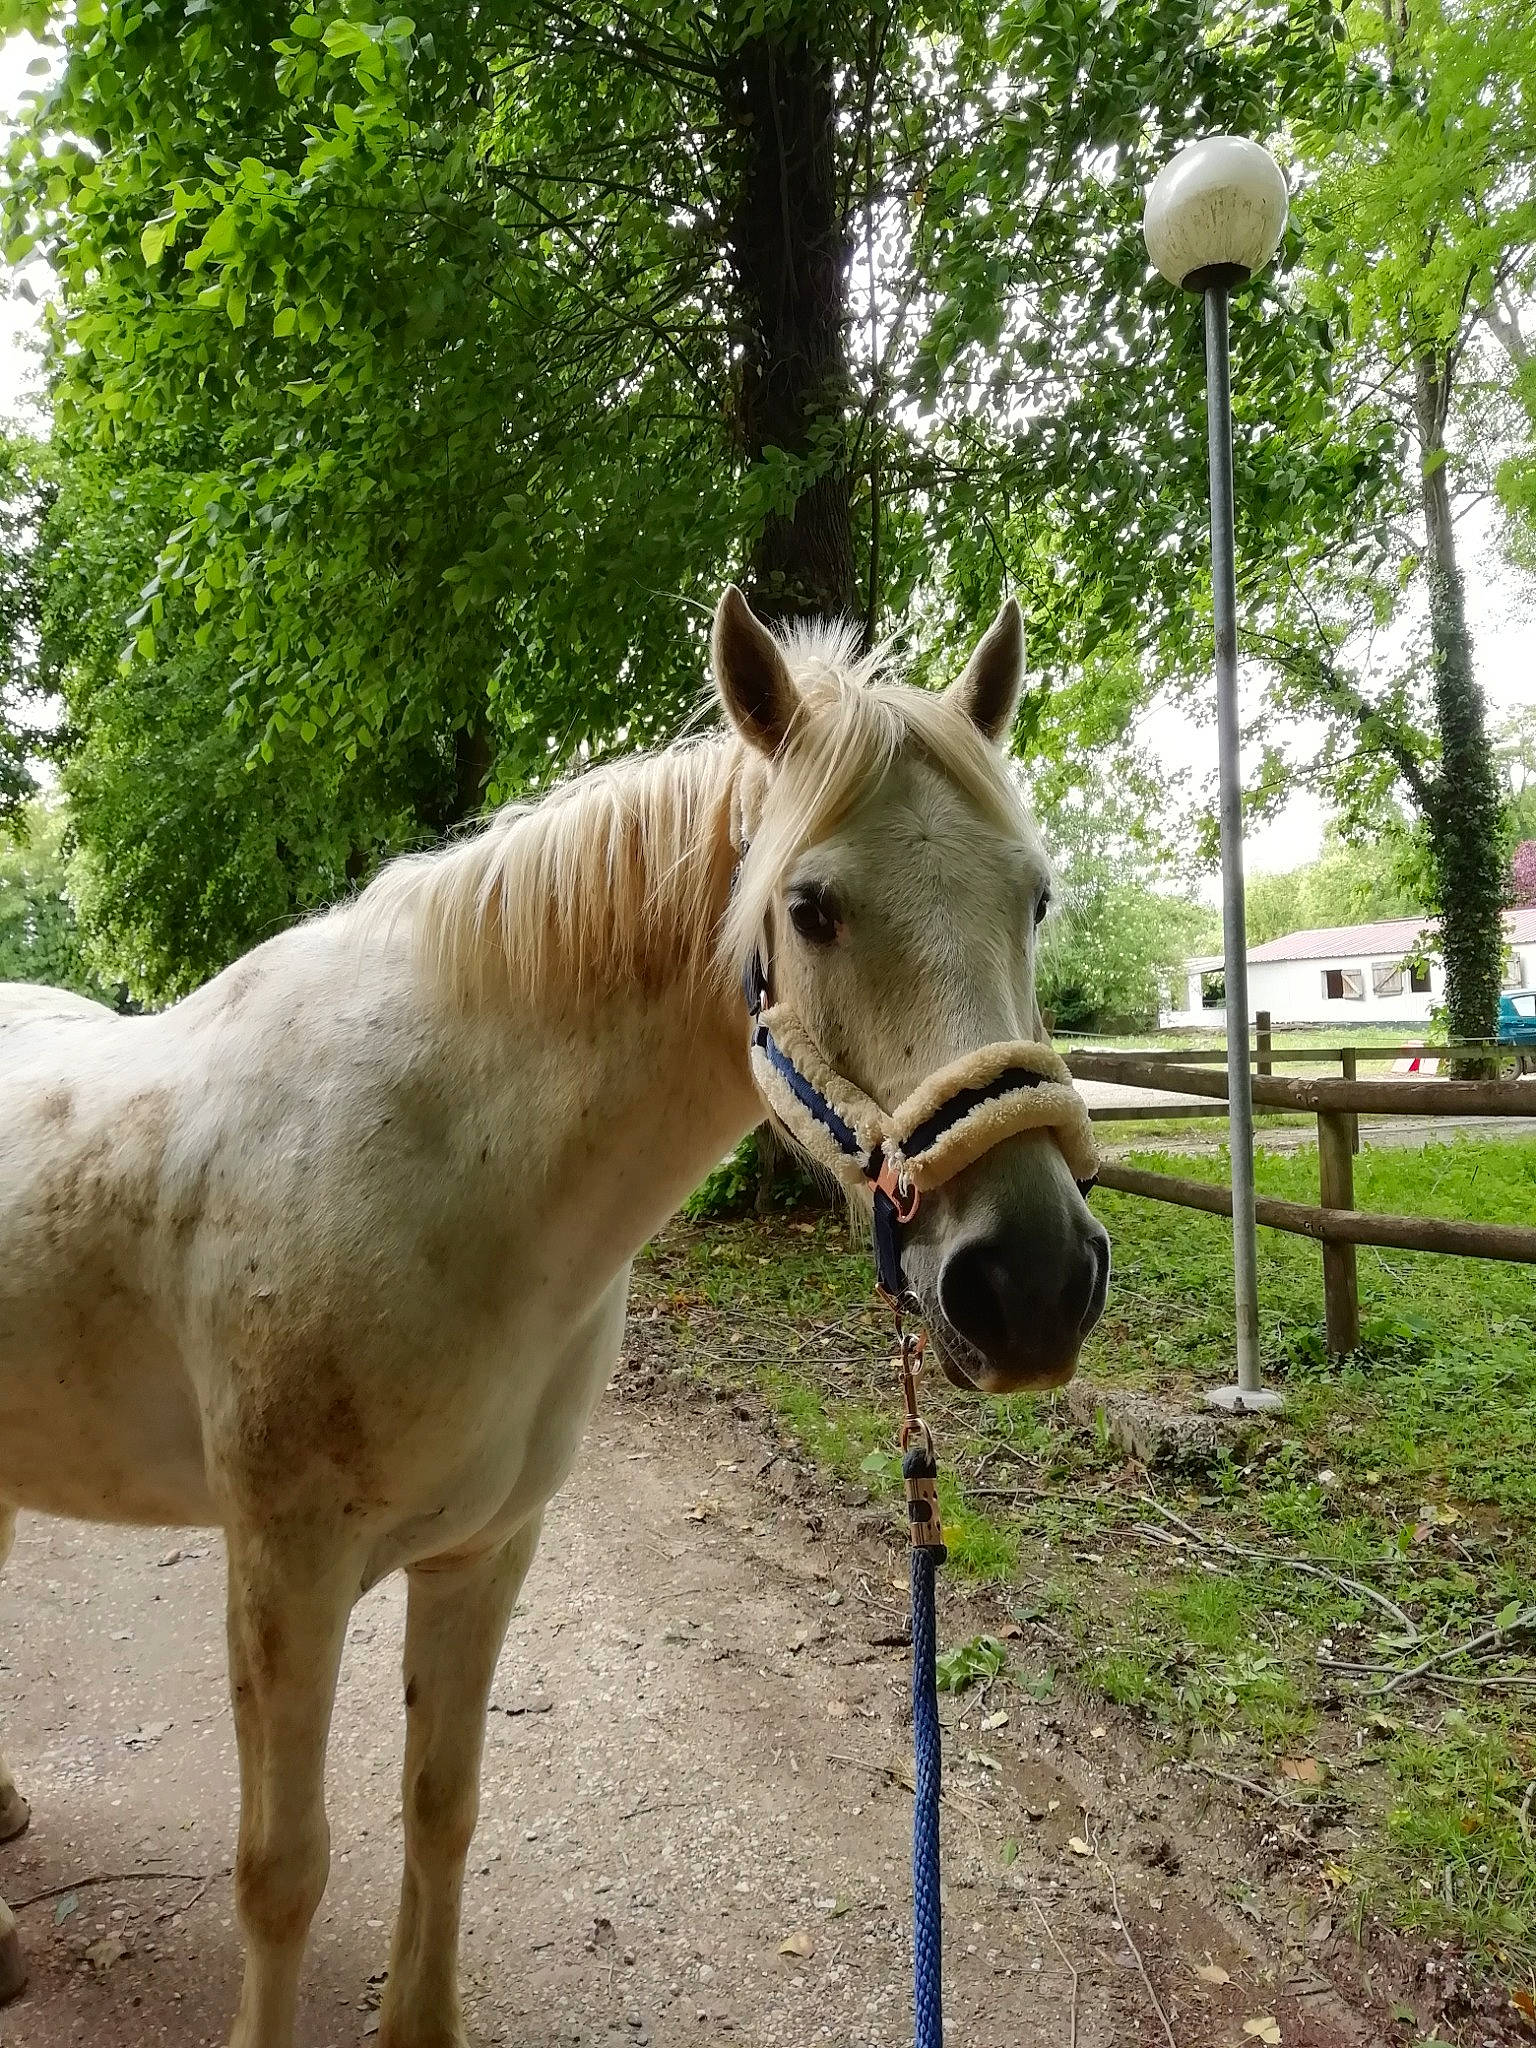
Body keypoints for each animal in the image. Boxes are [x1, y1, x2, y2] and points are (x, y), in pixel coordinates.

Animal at [0, 587, 1110, 2048]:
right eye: (810, 907)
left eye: (1033, 897)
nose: (1033, 1284)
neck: (435, 1161)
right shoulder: (283, 1570)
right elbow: (282, 1869)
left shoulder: (485, 1553)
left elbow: (441, 1807)